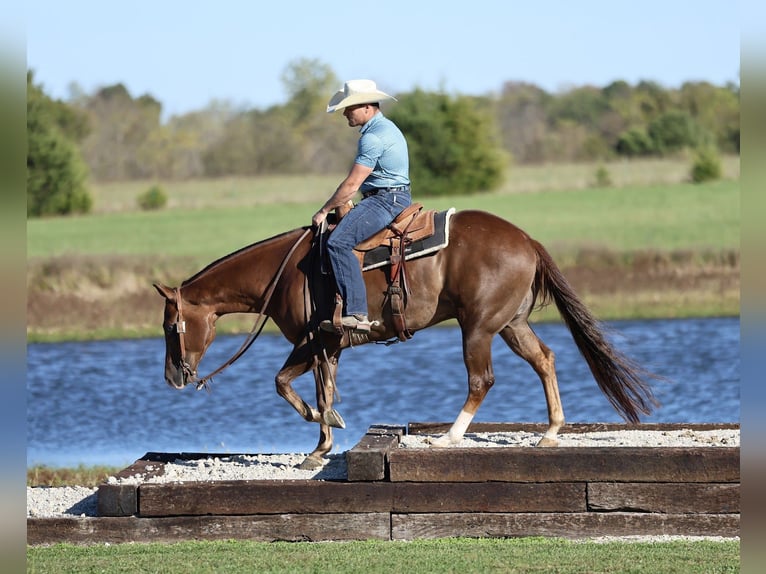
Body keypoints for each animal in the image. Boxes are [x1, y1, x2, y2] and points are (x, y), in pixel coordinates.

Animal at [154, 209, 659, 469]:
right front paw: (325, 435)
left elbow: (286, 383)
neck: (286, 273)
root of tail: (526, 240)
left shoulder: (314, 341)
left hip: (478, 327)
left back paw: (449, 438)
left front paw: (321, 437)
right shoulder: (328, 347)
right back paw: (551, 433)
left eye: (169, 326)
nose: (174, 377)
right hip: (510, 323)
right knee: (545, 359)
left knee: (481, 380)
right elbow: (319, 388)